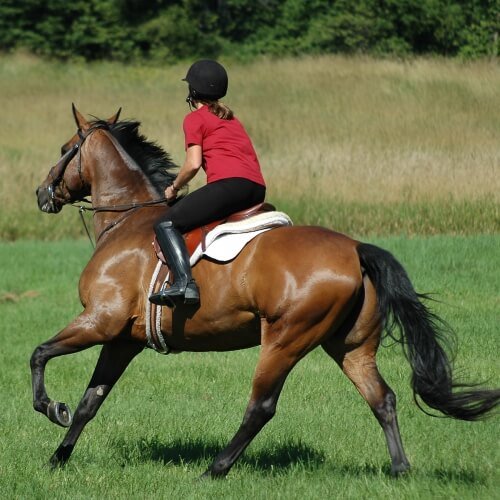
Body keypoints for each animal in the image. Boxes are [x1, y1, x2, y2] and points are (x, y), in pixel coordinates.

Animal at [33, 104, 498, 476]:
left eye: (63, 149)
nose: (41, 194)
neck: (126, 220)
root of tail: (354, 248)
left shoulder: (100, 321)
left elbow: (39, 354)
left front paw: (51, 408)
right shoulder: (122, 339)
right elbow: (91, 401)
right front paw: (57, 459)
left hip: (285, 338)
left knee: (261, 406)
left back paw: (215, 469)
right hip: (349, 344)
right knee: (382, 398)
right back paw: (400, 469)